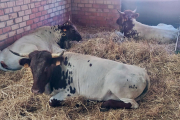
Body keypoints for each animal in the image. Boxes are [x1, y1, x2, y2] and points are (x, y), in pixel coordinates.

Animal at [9, 49, 150, 110]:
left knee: (132, 104)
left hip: (118, 88)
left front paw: (77, 103)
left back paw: (104, 104)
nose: (35, 90)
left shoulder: (70, 92)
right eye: (31, 67)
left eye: (47, 67)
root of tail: (143, 72)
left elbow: (52, 101)